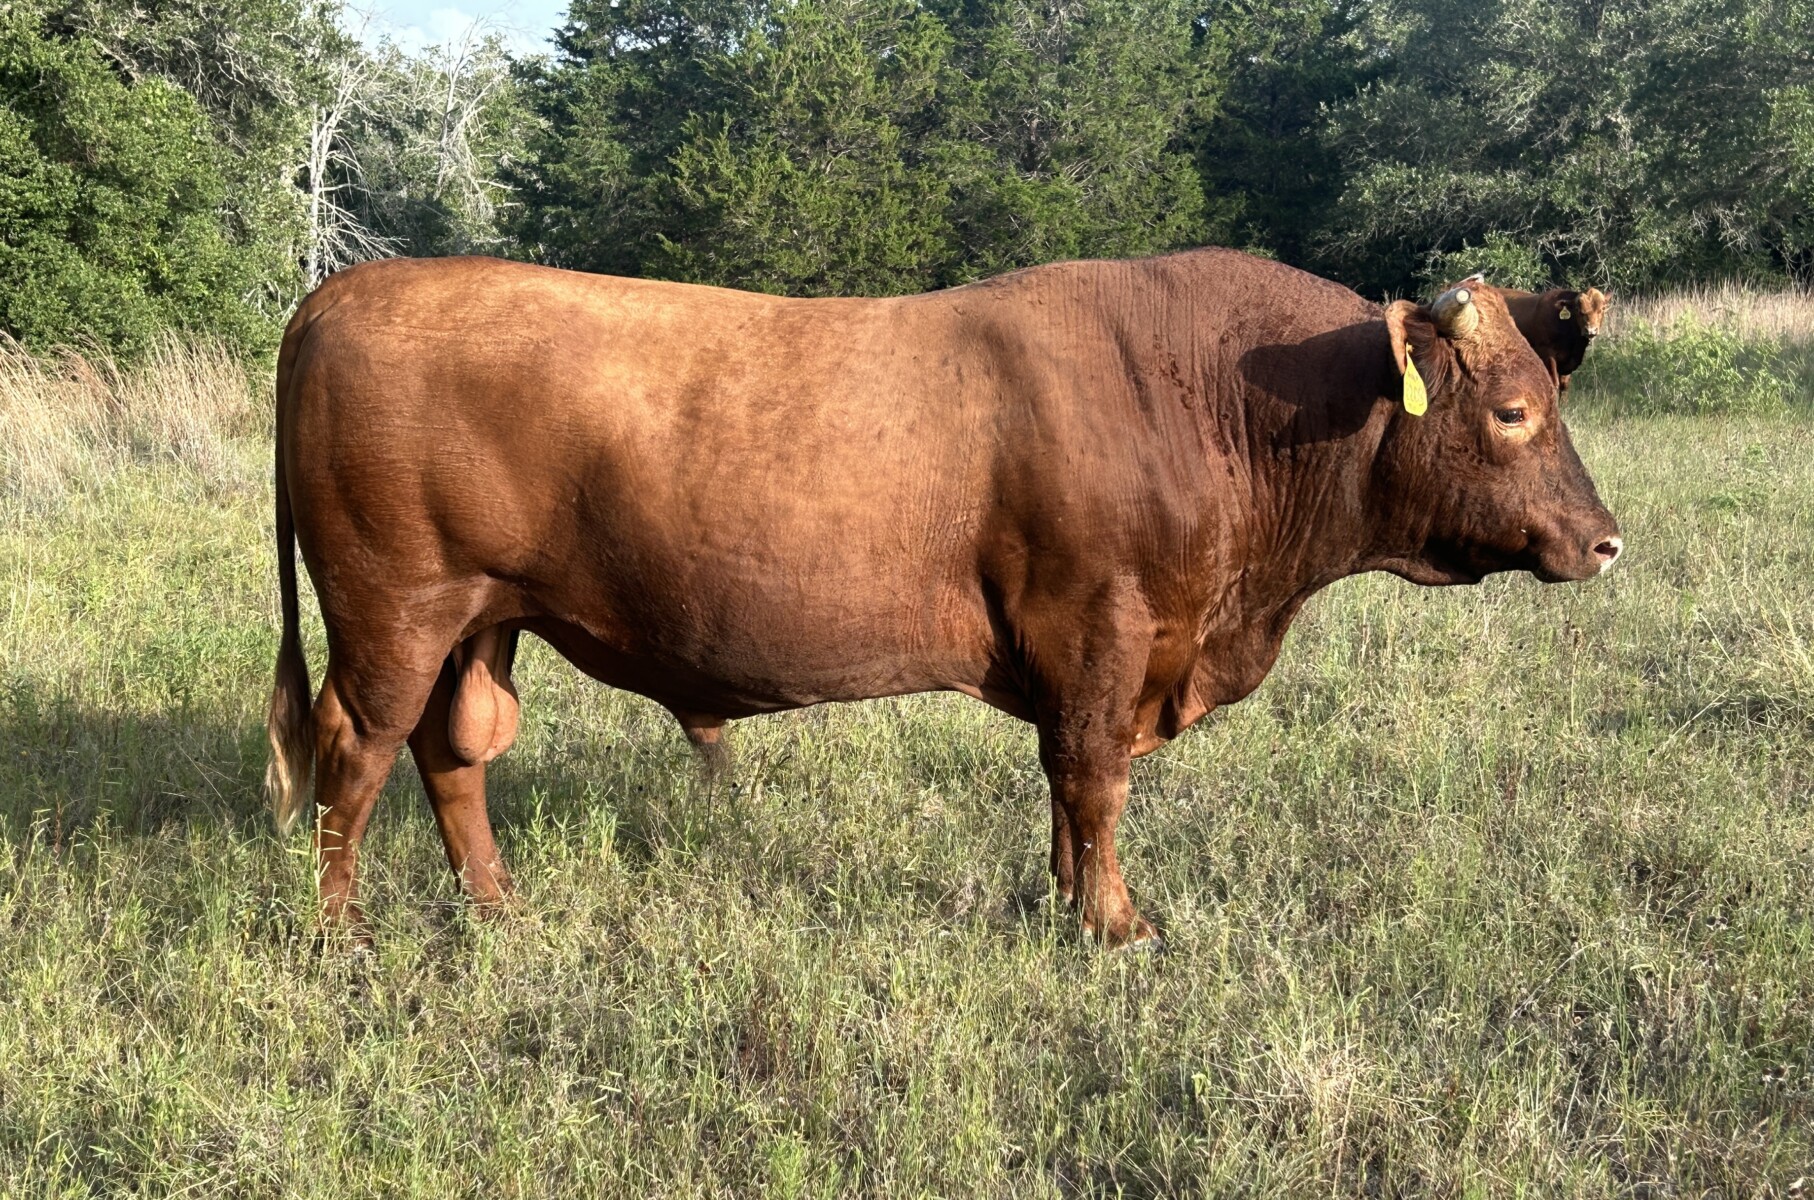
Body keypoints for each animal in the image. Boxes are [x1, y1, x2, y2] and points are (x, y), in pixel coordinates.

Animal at [266, 251, 1622, 949]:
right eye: (1512, 411)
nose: (1603, 543)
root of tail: (343, 290)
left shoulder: (1091, 657)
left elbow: (1068, 793)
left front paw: (1066, 904)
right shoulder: (1099, 628)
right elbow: (1093, 781)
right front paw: (1115, 927)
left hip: (481, 620)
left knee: (453, 752)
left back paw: (496, 909)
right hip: (397, 607)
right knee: (354, 748)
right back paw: (340, 936)